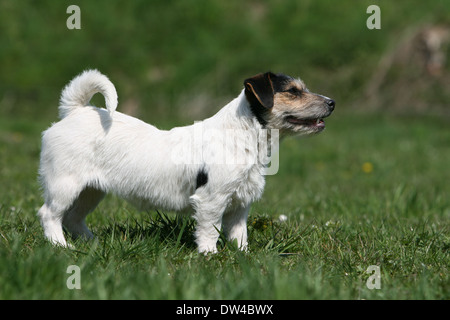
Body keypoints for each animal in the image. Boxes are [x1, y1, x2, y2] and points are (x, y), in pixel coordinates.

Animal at [37, 69, 334, 252]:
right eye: (293, 91)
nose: (332, 102)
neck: (242, 133)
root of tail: (75, 112)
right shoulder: (211, 200)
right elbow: (210, 230)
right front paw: (210, 255)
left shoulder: (240, 204)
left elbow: (239, 234)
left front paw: (243, 256)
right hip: (65, 185)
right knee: (50, 214)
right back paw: (60, 247)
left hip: (91, 190)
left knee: (73, 218)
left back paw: (92, 242)